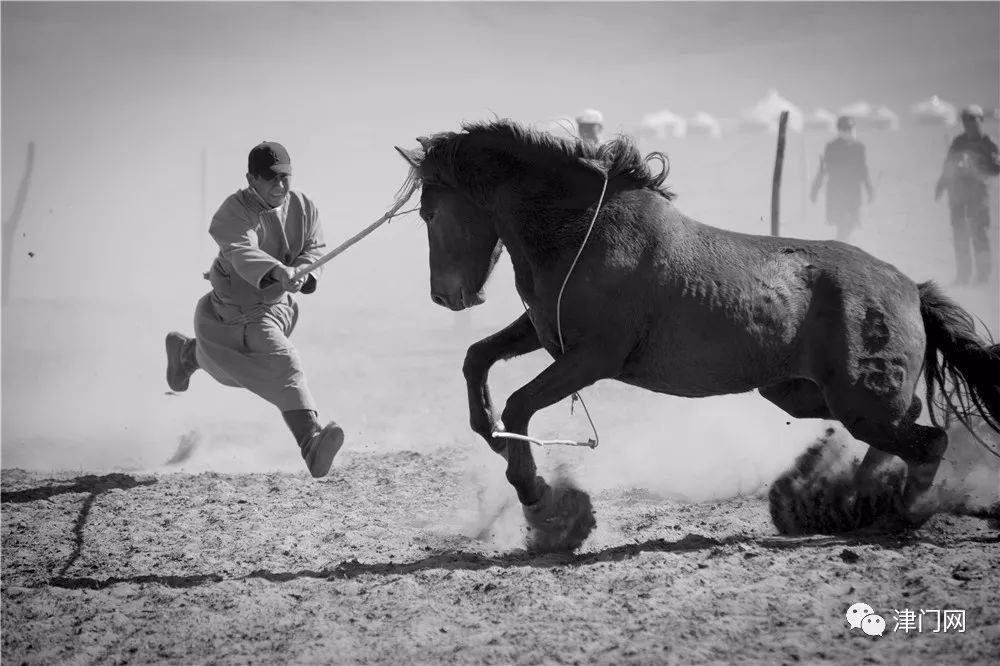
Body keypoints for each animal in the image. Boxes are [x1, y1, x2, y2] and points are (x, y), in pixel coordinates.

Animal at [394, 119, 996, 548]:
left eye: (429, 213)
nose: (445, 296)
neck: (584, 230)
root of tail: (909, 287)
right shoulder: (544, 335)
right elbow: (477, 360)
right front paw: (494, 436)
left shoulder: (591, 359)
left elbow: (519, 406)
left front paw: (542, 501)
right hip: (804, 393)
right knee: (908, 421)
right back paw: (849, 497)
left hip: (854, 399)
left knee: (928, 440)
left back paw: (892, 511)